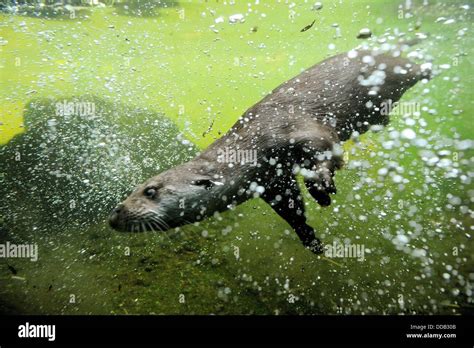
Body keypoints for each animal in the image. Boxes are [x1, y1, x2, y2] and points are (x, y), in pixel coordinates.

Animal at [109, 45, 432, 253]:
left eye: (150, 191)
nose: (115, 214)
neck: (253, 144)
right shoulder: (272, 180)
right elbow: (291, 207)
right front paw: (310, 238)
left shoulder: (296, 128)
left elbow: (325, 148)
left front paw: (321, 186)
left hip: (395, 68)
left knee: (416, 68)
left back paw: (429, 68)